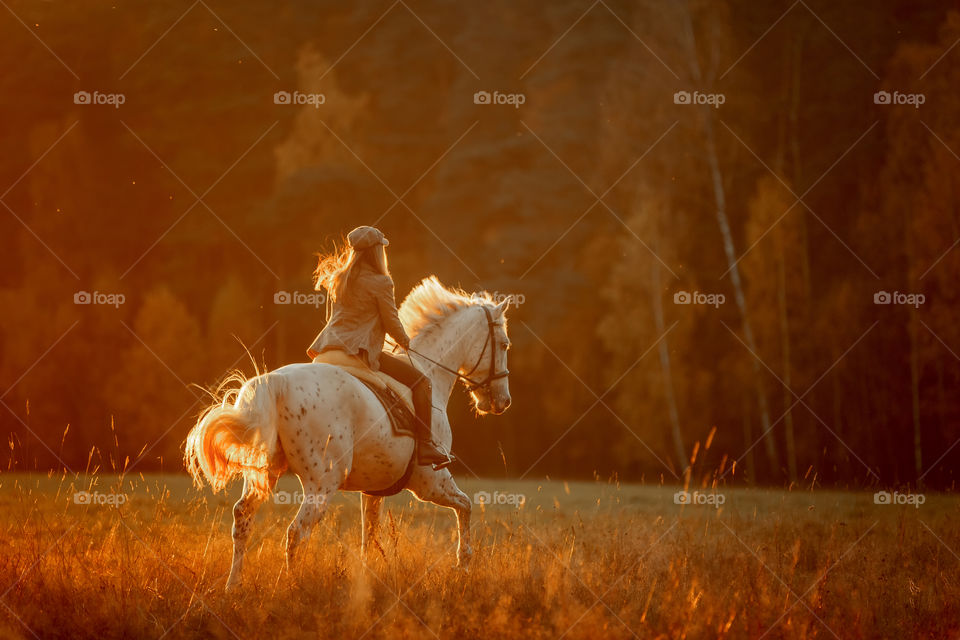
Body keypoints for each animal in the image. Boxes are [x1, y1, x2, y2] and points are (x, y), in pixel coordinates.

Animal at [182, 276, 510, 592]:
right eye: (505, 344)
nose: (503, 402)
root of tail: (277, 381)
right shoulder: (431, 482)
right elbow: (466, 507)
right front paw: (463, 565)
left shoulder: (374, 491)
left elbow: (370, 537)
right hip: (323, 483)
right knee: (297, 532)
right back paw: (292, 587)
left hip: (264, 474)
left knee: (243, 519)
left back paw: (233, 585)